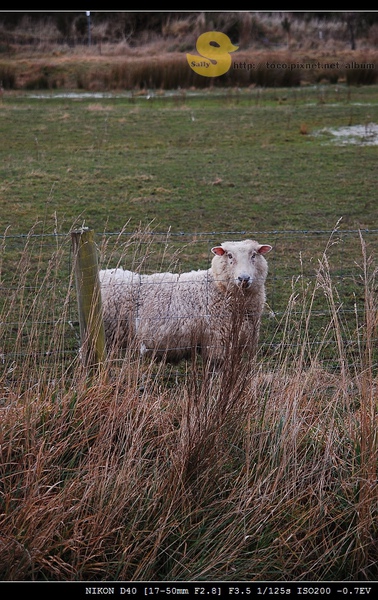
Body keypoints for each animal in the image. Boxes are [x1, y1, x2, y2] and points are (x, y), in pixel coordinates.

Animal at [99, 238, 272, 360]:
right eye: (230, 256)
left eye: (254, 255)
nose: (244, 278)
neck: (217, 288)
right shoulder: (217, 342)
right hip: (108, 334)